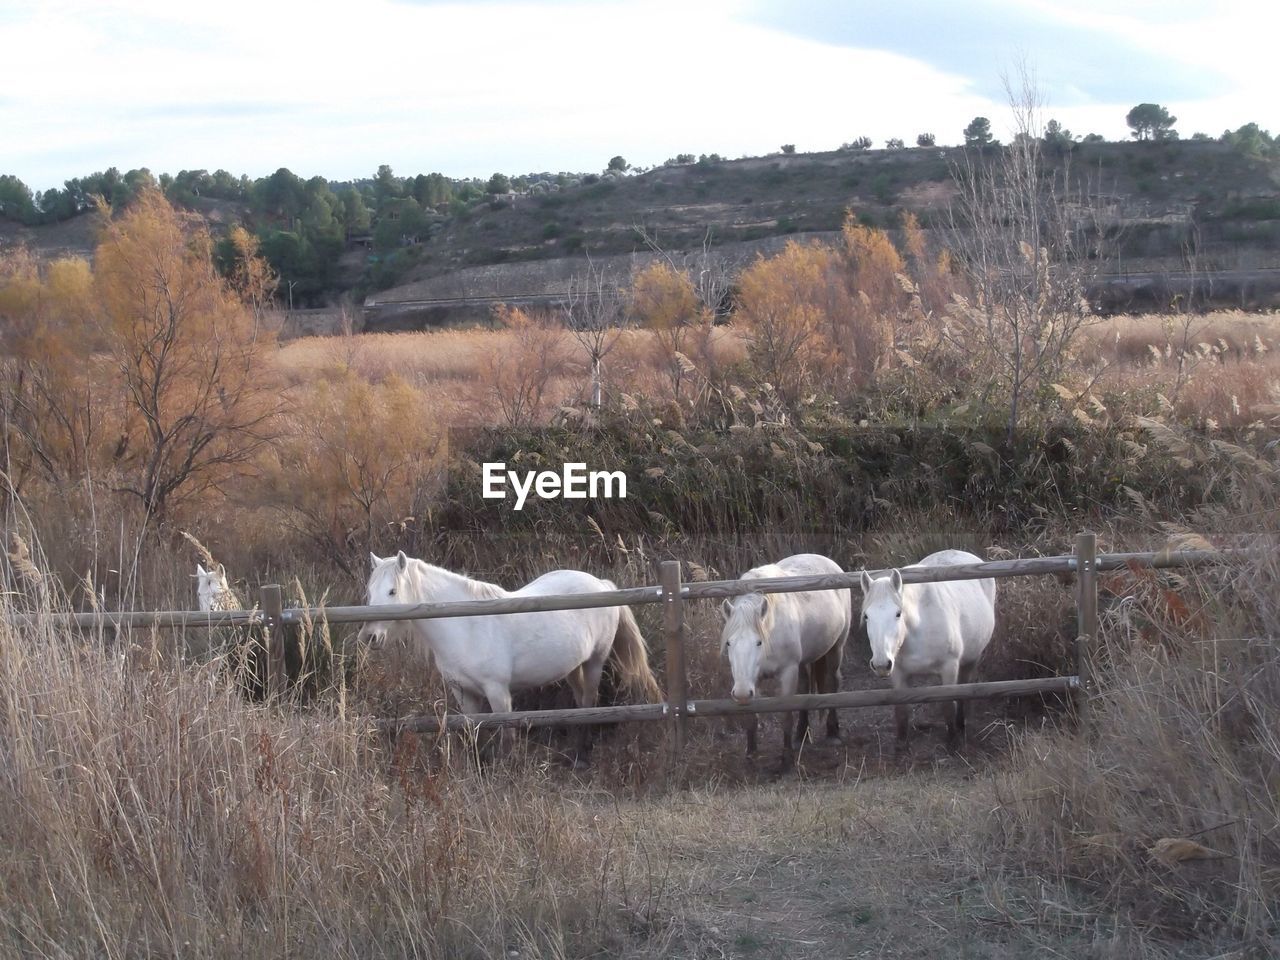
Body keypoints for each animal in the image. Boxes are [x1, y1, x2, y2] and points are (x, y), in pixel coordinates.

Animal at [358, 555, 660, 768]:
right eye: (369, 592)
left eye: (393, 591)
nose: (369, 636)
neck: (464, 625)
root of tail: (601, 584)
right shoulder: (463, 692)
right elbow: (471, 731)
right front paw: (476, 768)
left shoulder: (498, 691)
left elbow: (507, 734)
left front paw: (506, 770)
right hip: (574, 667)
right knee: (580, 702)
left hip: (595, 661)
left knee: (590, 703)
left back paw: (581, 757)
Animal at [721, 555, 849, 768]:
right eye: (729, 643)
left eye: (759, 642)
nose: (740, 693)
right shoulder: (752, 680)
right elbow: (752, 717)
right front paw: (751, 754)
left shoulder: (788, 672)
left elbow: (786, 714)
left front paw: (786, 759)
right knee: (805, 688)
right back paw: (801, 735)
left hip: (835, 649)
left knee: (833, 682)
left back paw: (833, 733)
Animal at [860, 547, 998, 752]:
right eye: (867, 616)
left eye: (898, 613)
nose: (881, 664)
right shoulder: (899, 673)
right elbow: (901, 710)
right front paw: (901, 746)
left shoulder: (949, 668)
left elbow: (948, 706)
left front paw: (953, 742)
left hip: (970, 661)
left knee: (963, 692)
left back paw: (961, 725)